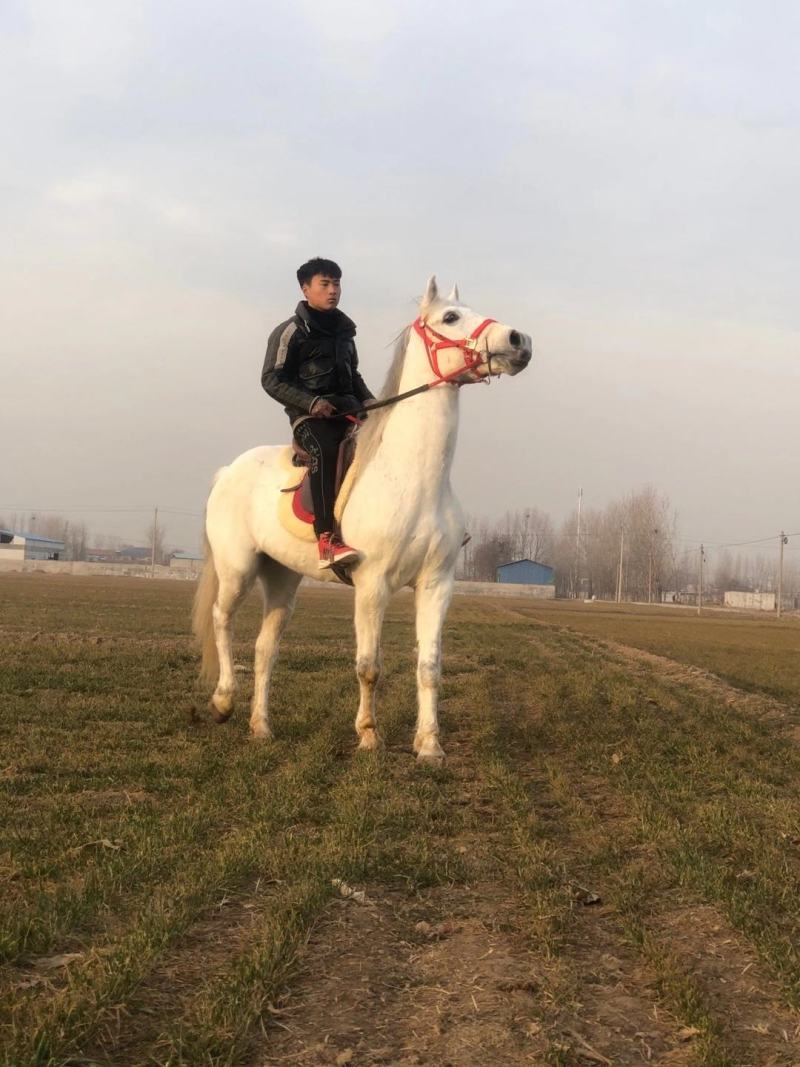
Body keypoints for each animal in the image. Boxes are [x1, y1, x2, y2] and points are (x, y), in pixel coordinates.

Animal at [192, 276, 532, 763]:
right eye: (450, 317)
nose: (518, 341)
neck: (414, 477)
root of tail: (229, 470)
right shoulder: (373, 585)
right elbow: (369, 666)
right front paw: (369, 735)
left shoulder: (436, 585)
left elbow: (429, 666)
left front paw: (430, 745)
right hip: (237, 568)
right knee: (222, 620)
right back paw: (222, 702)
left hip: (282, 577)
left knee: (264, 649)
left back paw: (261, 727)